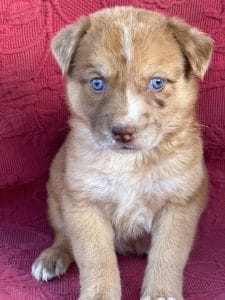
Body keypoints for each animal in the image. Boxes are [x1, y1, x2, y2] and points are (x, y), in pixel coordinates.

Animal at [31, 6, 213, 300]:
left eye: (157, 82)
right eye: (97, 83)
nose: (124, 132)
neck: (130, 163)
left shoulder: (180, 203)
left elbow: (168, 254)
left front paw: (161, 293)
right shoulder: (83, 202)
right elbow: (96, 258)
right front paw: (99, 295)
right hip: (56, 191)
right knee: (62, 234)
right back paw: (52, 257)